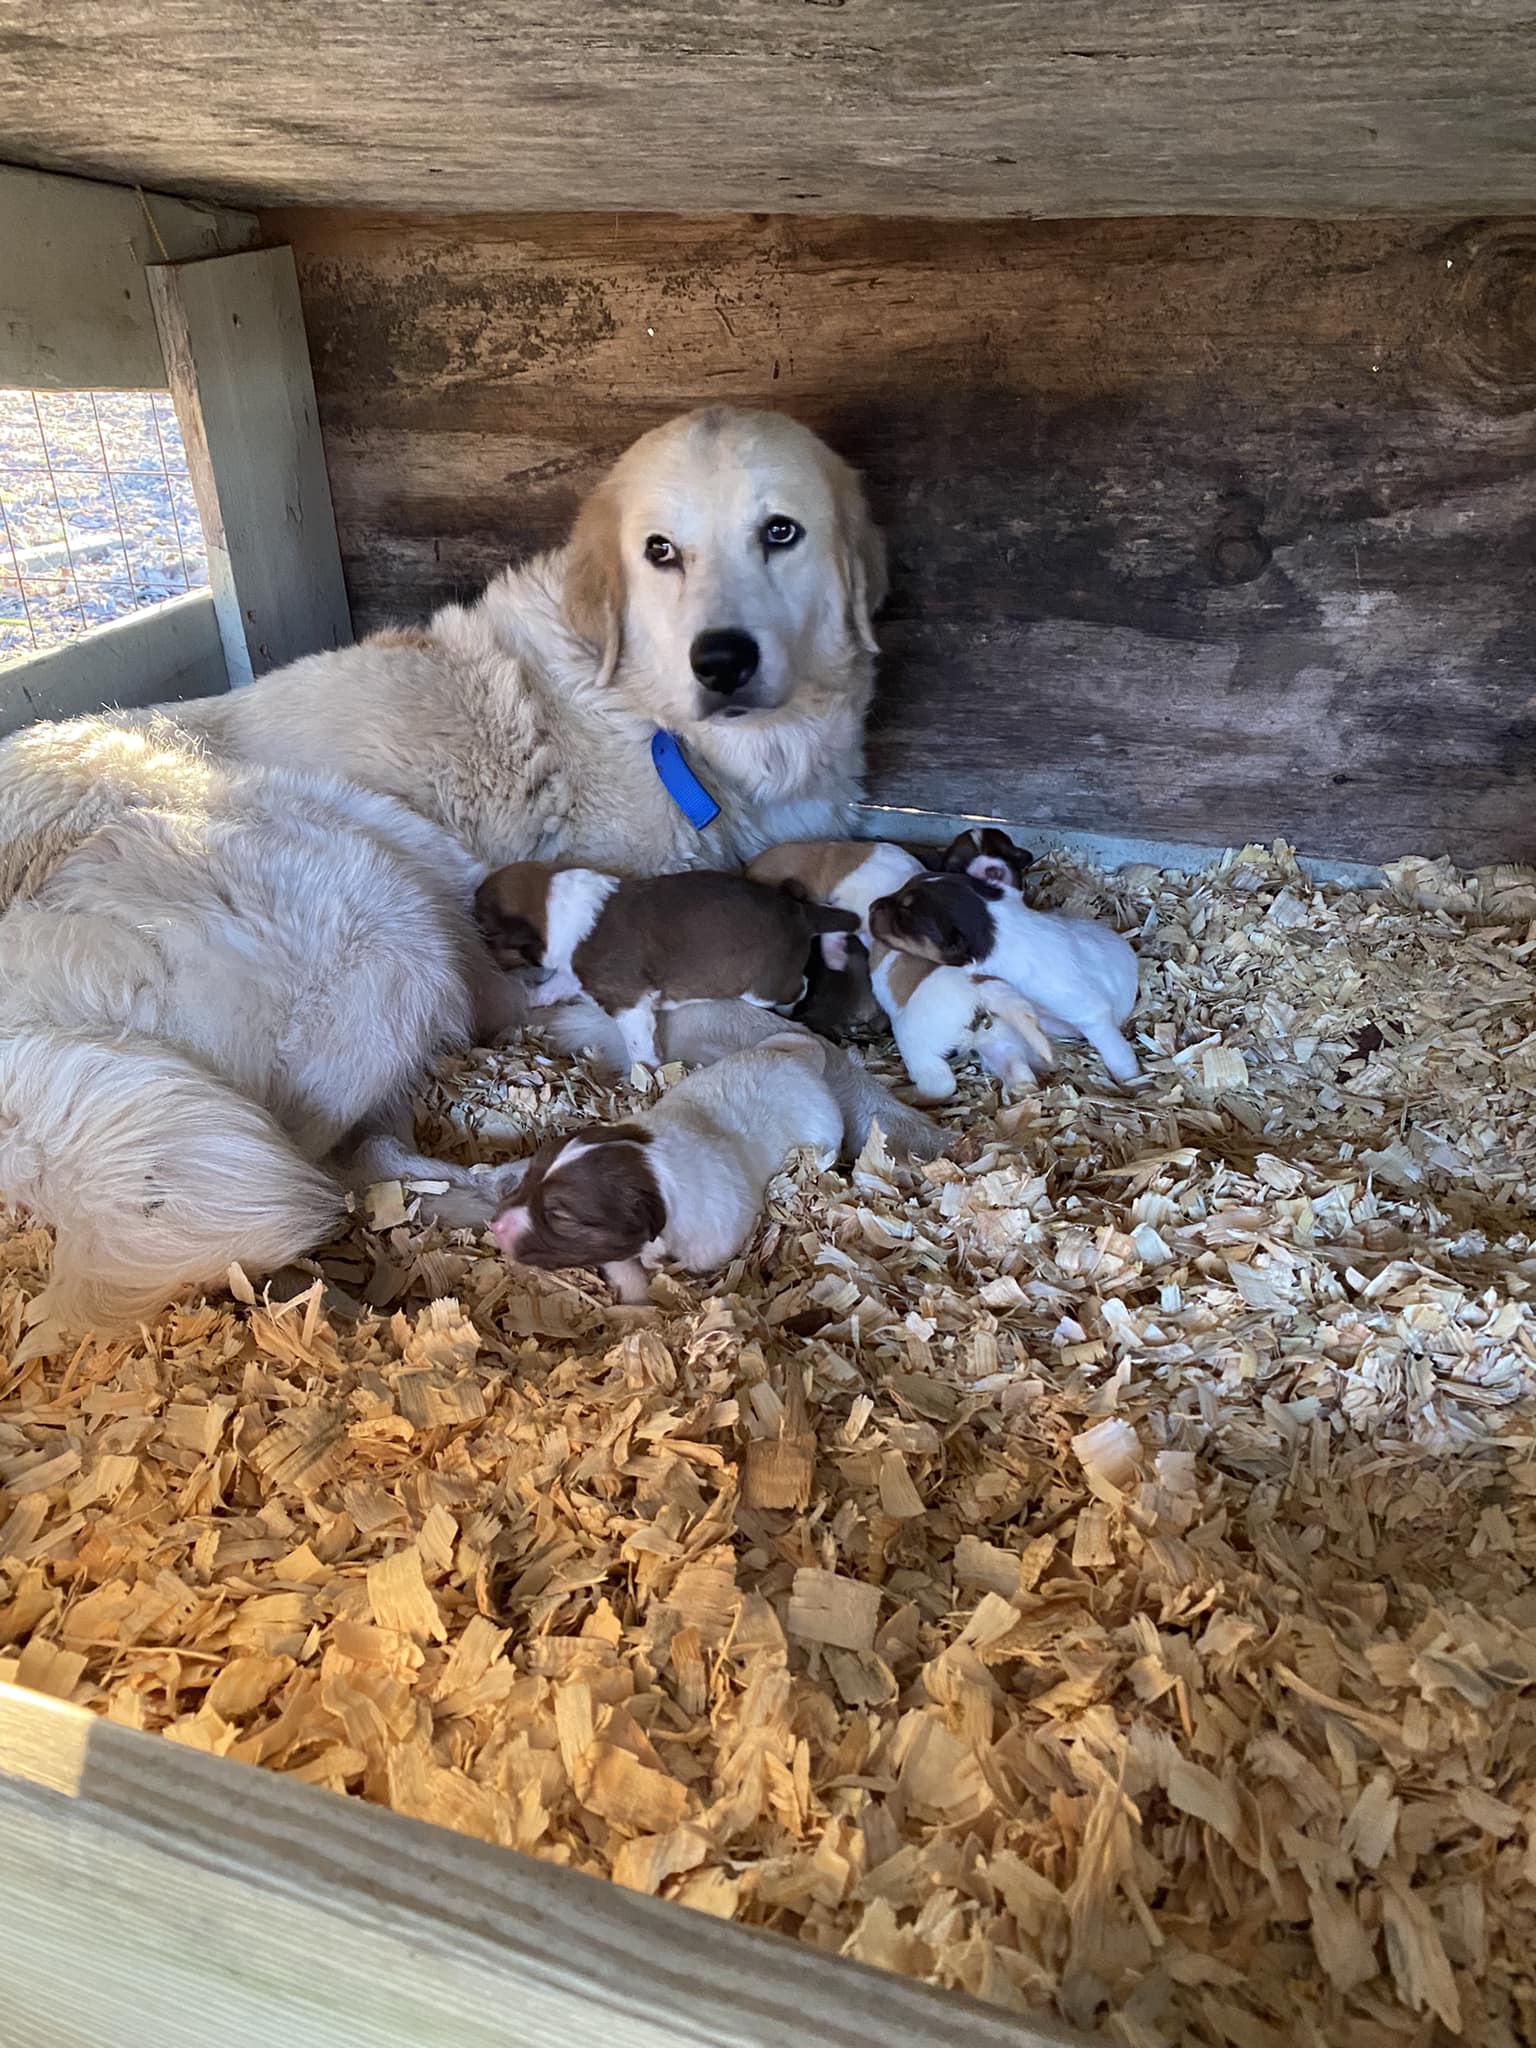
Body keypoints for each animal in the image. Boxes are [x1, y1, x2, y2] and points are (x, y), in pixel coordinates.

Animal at [475, 860, 860, 1064]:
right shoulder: (579, 975)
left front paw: (645, 1070)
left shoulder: (628, 1001)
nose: (480, 953)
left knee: (800, 987)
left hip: (764, 988)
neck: (553, 905)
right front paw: (531, 997)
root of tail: (799, 912)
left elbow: (638, 1044)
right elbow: (553, 985)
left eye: (487, 932)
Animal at [493, 1032, 847, 1302]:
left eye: (560, 1216)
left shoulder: (708, 1249)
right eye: (528, 1177)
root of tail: (802, 1062)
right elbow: (624, 1266)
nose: (495, 1226)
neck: (655, 1168)